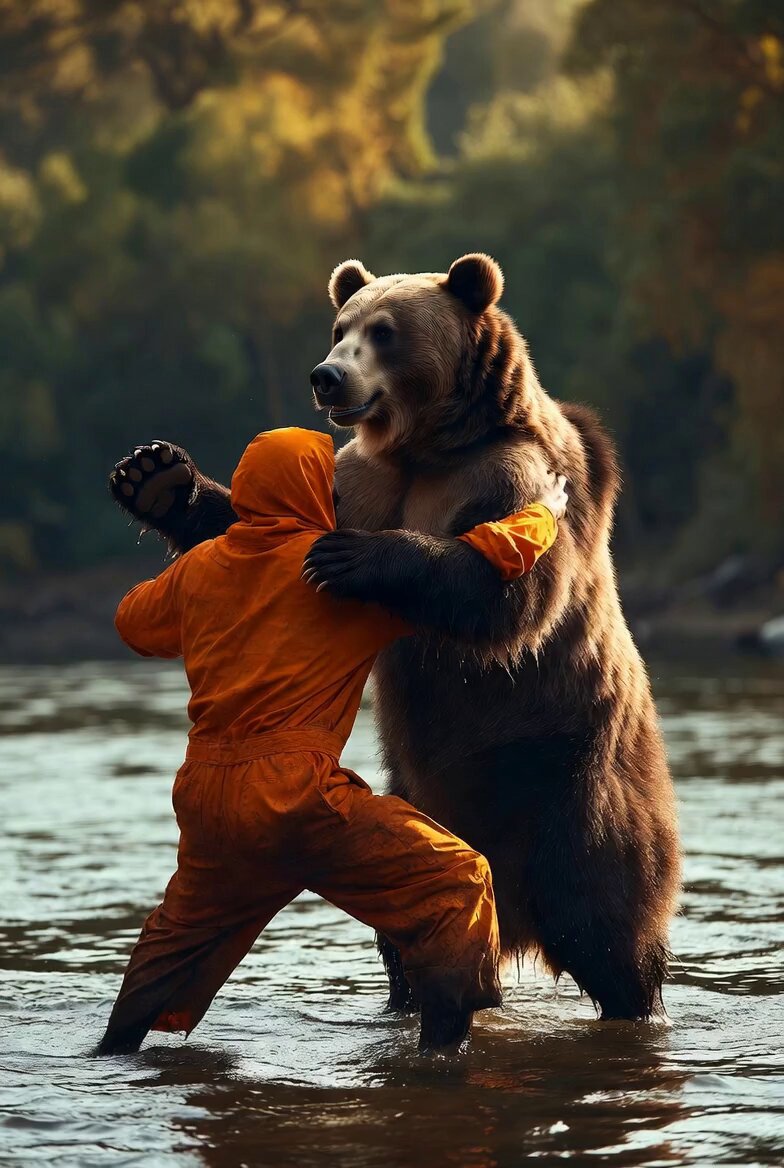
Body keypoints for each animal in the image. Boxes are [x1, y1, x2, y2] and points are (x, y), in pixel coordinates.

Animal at [110, 253, 681, 1021]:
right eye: (340, 327)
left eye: (384, 332)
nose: (327, 376)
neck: (428, 445)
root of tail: (516, 924)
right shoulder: (362, 478)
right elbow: (258, 524)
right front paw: (158, 477)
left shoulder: (508, 471)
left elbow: (507, 596)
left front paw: (354, 558)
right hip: (420, 797)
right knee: (411, 936)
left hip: (574, 781)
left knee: (604, 918)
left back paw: (632, 991)